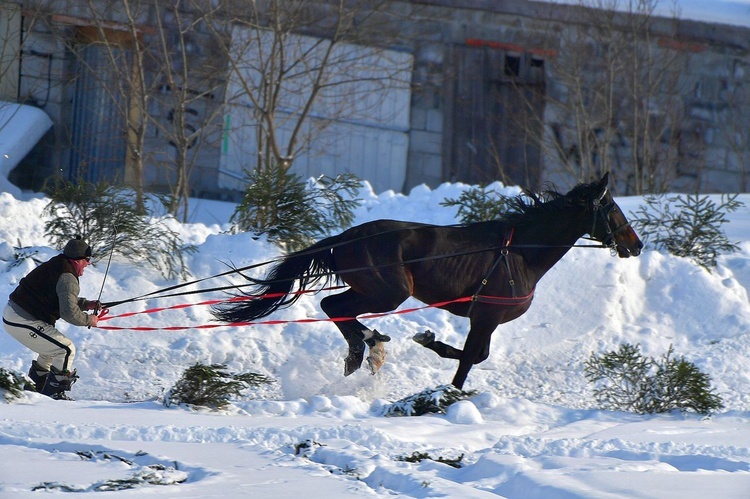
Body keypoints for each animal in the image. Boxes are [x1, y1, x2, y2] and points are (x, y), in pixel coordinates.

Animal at [214, 174, 644, 392]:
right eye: (612, 208)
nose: (636, 244)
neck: (521, 253)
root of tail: (345, 238)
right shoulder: (485, 317)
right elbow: (470, 359)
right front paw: (445, 380)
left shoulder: (484, 320)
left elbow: (474, 356)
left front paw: (428, 342)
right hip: (389, 292)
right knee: (332, 307)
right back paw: (366, 347)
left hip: (375, 290)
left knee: (335, 308)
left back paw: (367, 347)